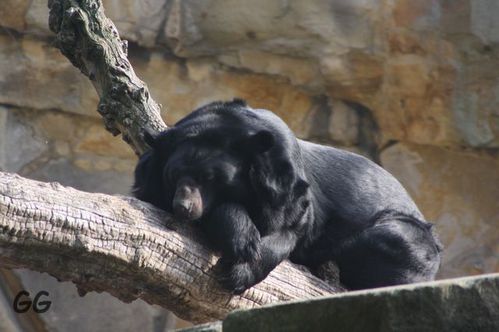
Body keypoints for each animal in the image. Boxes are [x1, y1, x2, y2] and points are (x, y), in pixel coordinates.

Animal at [134, 98, 446, 294]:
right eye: (173, 176)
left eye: (211, 179)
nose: (184, 207)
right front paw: (241, 236)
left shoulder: (286, 186)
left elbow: (288, 230)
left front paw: (239, 268)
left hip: (409, 239)